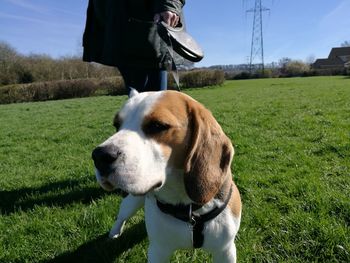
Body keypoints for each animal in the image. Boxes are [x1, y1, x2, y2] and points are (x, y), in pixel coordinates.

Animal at [91, 89, 242, 262]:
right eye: (117, 125)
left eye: (157, 126)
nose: (99, 156)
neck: (188, 209)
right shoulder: (158, 251)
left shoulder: (225, 250)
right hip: (132, 201)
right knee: (122, 216)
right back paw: (114, 232)